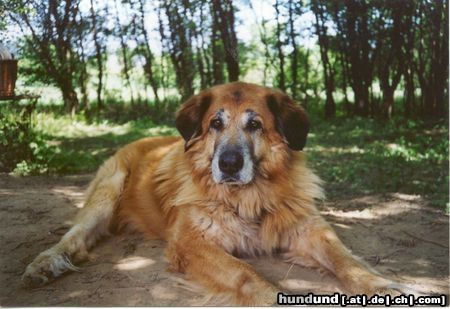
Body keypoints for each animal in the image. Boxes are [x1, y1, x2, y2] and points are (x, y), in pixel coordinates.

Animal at [22, 82, 408, 306]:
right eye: (215, 124)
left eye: (255, 125)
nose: (229, 163)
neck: (248, 197)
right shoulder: (192, 242)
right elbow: (246, 274)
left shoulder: (307, 228)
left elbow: (346, 259)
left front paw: (382, 287)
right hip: (106, 193)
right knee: (75, 236)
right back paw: (45, 263)